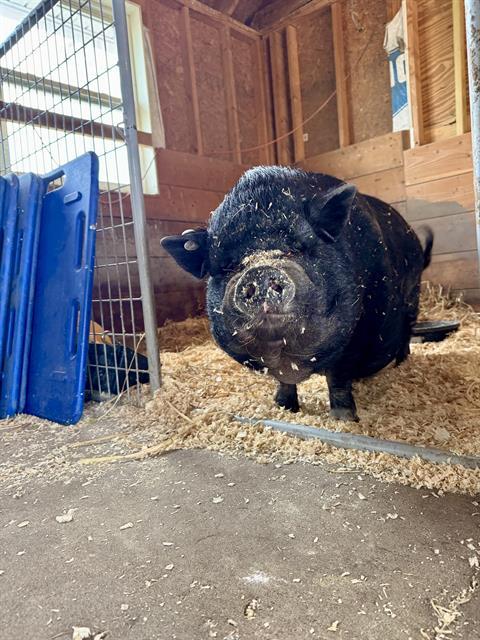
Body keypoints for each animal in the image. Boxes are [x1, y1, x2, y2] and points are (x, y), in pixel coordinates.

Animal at [161, 166, 433, 421]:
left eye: (297, 248)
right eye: (228, 265)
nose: (260, 270)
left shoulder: (357, 334)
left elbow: (338, 379)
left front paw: (343, 419)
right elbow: (284, 381)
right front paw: (283, 407)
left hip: (413, 297)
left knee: (407, 334)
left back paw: (401, 365)